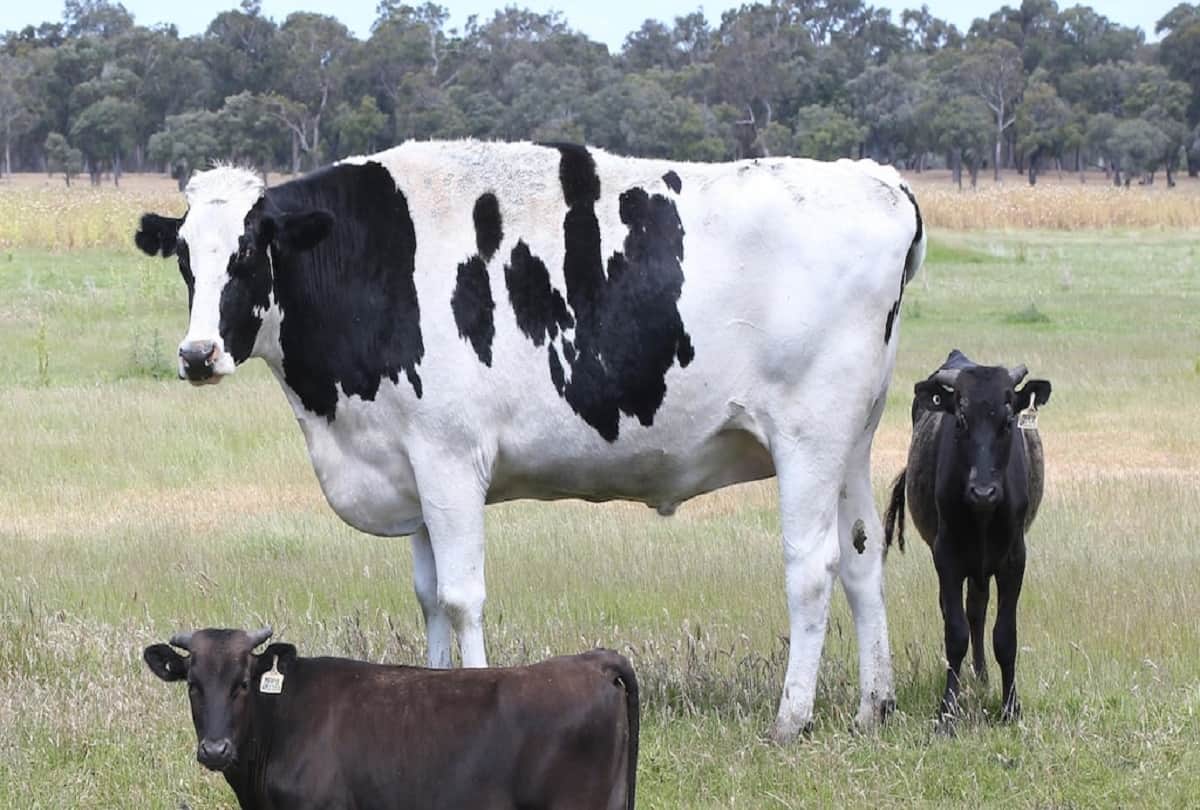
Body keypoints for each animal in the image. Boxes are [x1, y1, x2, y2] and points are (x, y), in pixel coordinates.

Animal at [133, 141, 926, 740]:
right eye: (185, 260)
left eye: (248, 253)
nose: (197, 354)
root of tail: (875, 178)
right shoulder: (412, 467)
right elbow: (427, 596)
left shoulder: (450, 458)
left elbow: (460, 596)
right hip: (853, 440)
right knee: (861, 560)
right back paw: (872, 708)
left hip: (807, 437)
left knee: (812, 567)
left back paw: (791, 719)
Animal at [883, 350, 1052, 731]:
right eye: (960, 420)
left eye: (1008, 421)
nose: (983, 491)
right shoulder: (947, 557)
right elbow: (955, 633)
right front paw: (948, 708)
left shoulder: (1014, 560)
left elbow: (1005, 636)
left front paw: (1011, 707)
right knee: (960, 612)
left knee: (977, 609)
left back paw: (982, 677)